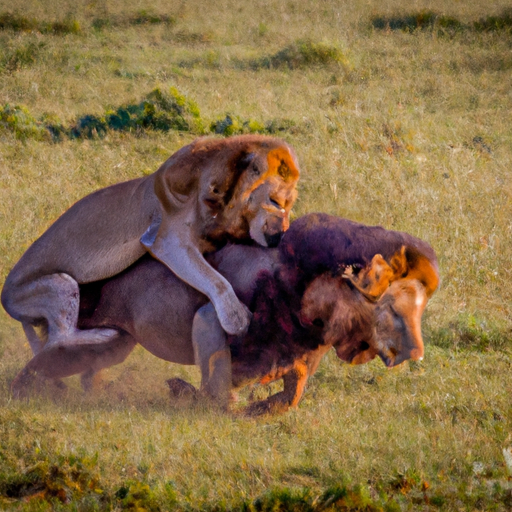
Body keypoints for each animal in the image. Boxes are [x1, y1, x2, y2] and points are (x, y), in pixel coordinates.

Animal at [2, 135, 300, 384]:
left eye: (291, 204)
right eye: (275, 201)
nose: (280, 236)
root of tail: (6, 300)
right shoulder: (167, 240)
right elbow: (215, 280)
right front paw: (237, 318)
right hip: (59, 284)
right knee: (60, 338)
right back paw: (103, 334)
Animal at [10, 214, 438, 414]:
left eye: (420, 311)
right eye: (391, 310)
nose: (415, 354)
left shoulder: (298, 358)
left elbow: (292, 394)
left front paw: (259, 410)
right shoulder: (209, 318)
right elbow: (216, 390)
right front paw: (189, 395)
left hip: (117, 342)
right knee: (46, 357)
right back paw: (27, 391)